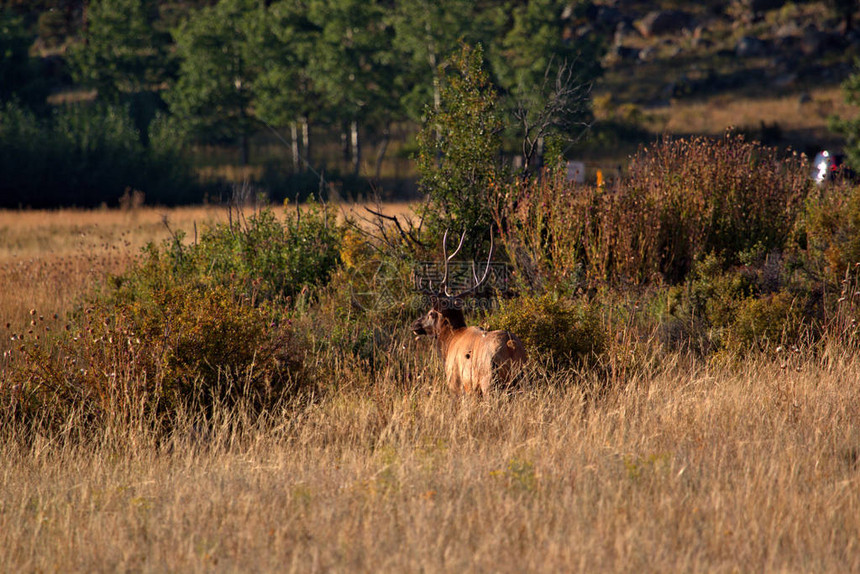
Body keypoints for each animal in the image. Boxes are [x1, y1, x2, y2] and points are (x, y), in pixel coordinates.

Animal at [412, 230, 528, 396]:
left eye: (431, 312)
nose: (415, 324)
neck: (449, 342)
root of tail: (511, 346)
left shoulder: (456, 383)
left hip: (489, 382)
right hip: (522, 380)